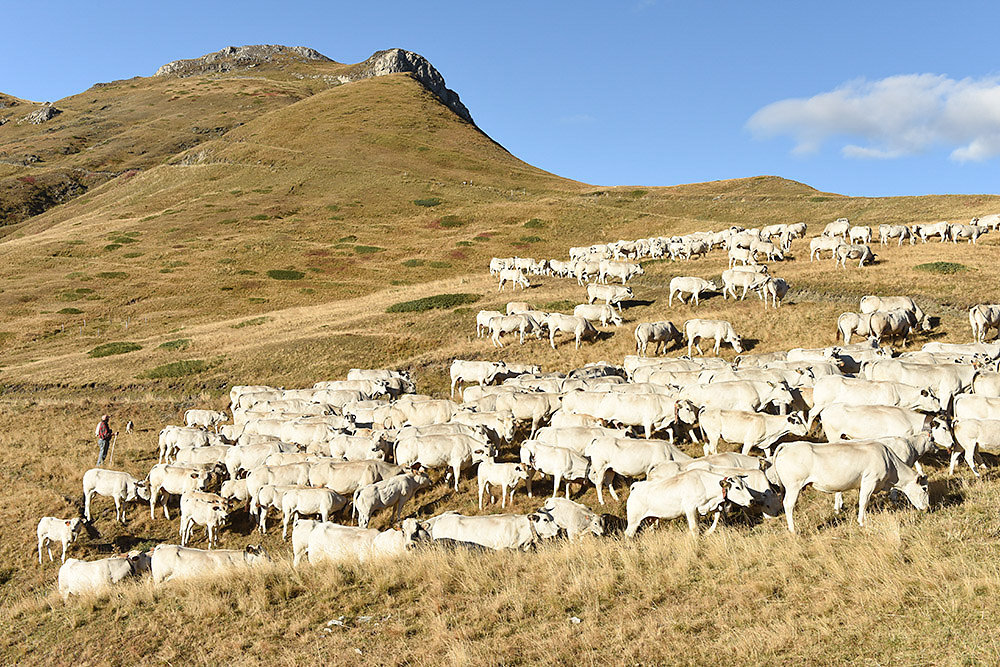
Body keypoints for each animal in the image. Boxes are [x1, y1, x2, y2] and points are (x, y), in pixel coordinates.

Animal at [620, 470, 752, 536]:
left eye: (745, 485)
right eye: (737, 487)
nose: (751, 500)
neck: (704, 483)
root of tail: (636, 487)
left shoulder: (711, 506)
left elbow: (717, 517)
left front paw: (708, 532)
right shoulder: (690, 509)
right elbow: (694, 528)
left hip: (651, 518)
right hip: (634, 520)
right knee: (628, 534)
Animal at [772, 440, 928, 536]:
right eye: (924, 489)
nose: (927, 508)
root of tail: (788, 445)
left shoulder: (862, 484)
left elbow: (863, 502)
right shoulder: (870, 481)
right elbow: (863, 502)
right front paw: (862, 522)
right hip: (794, 486)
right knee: (788, 505)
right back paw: (793, 530)